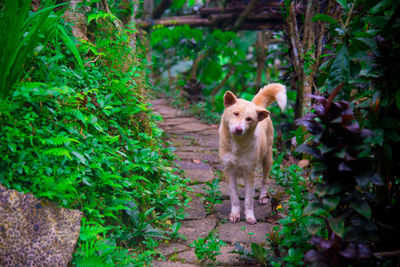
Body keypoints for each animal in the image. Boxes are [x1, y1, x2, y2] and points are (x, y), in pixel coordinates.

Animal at [219, 83, 288, 224]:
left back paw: (262, 197)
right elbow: (235, 198)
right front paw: (235, 214)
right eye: (235, 113)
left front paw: (250, 216)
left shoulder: (249, 173)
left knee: (264, 180)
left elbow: (249, 200)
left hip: (268, 159)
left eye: (249, 119)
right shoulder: (229, 172)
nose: (239, 129)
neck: (237, 145)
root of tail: (257, 105)